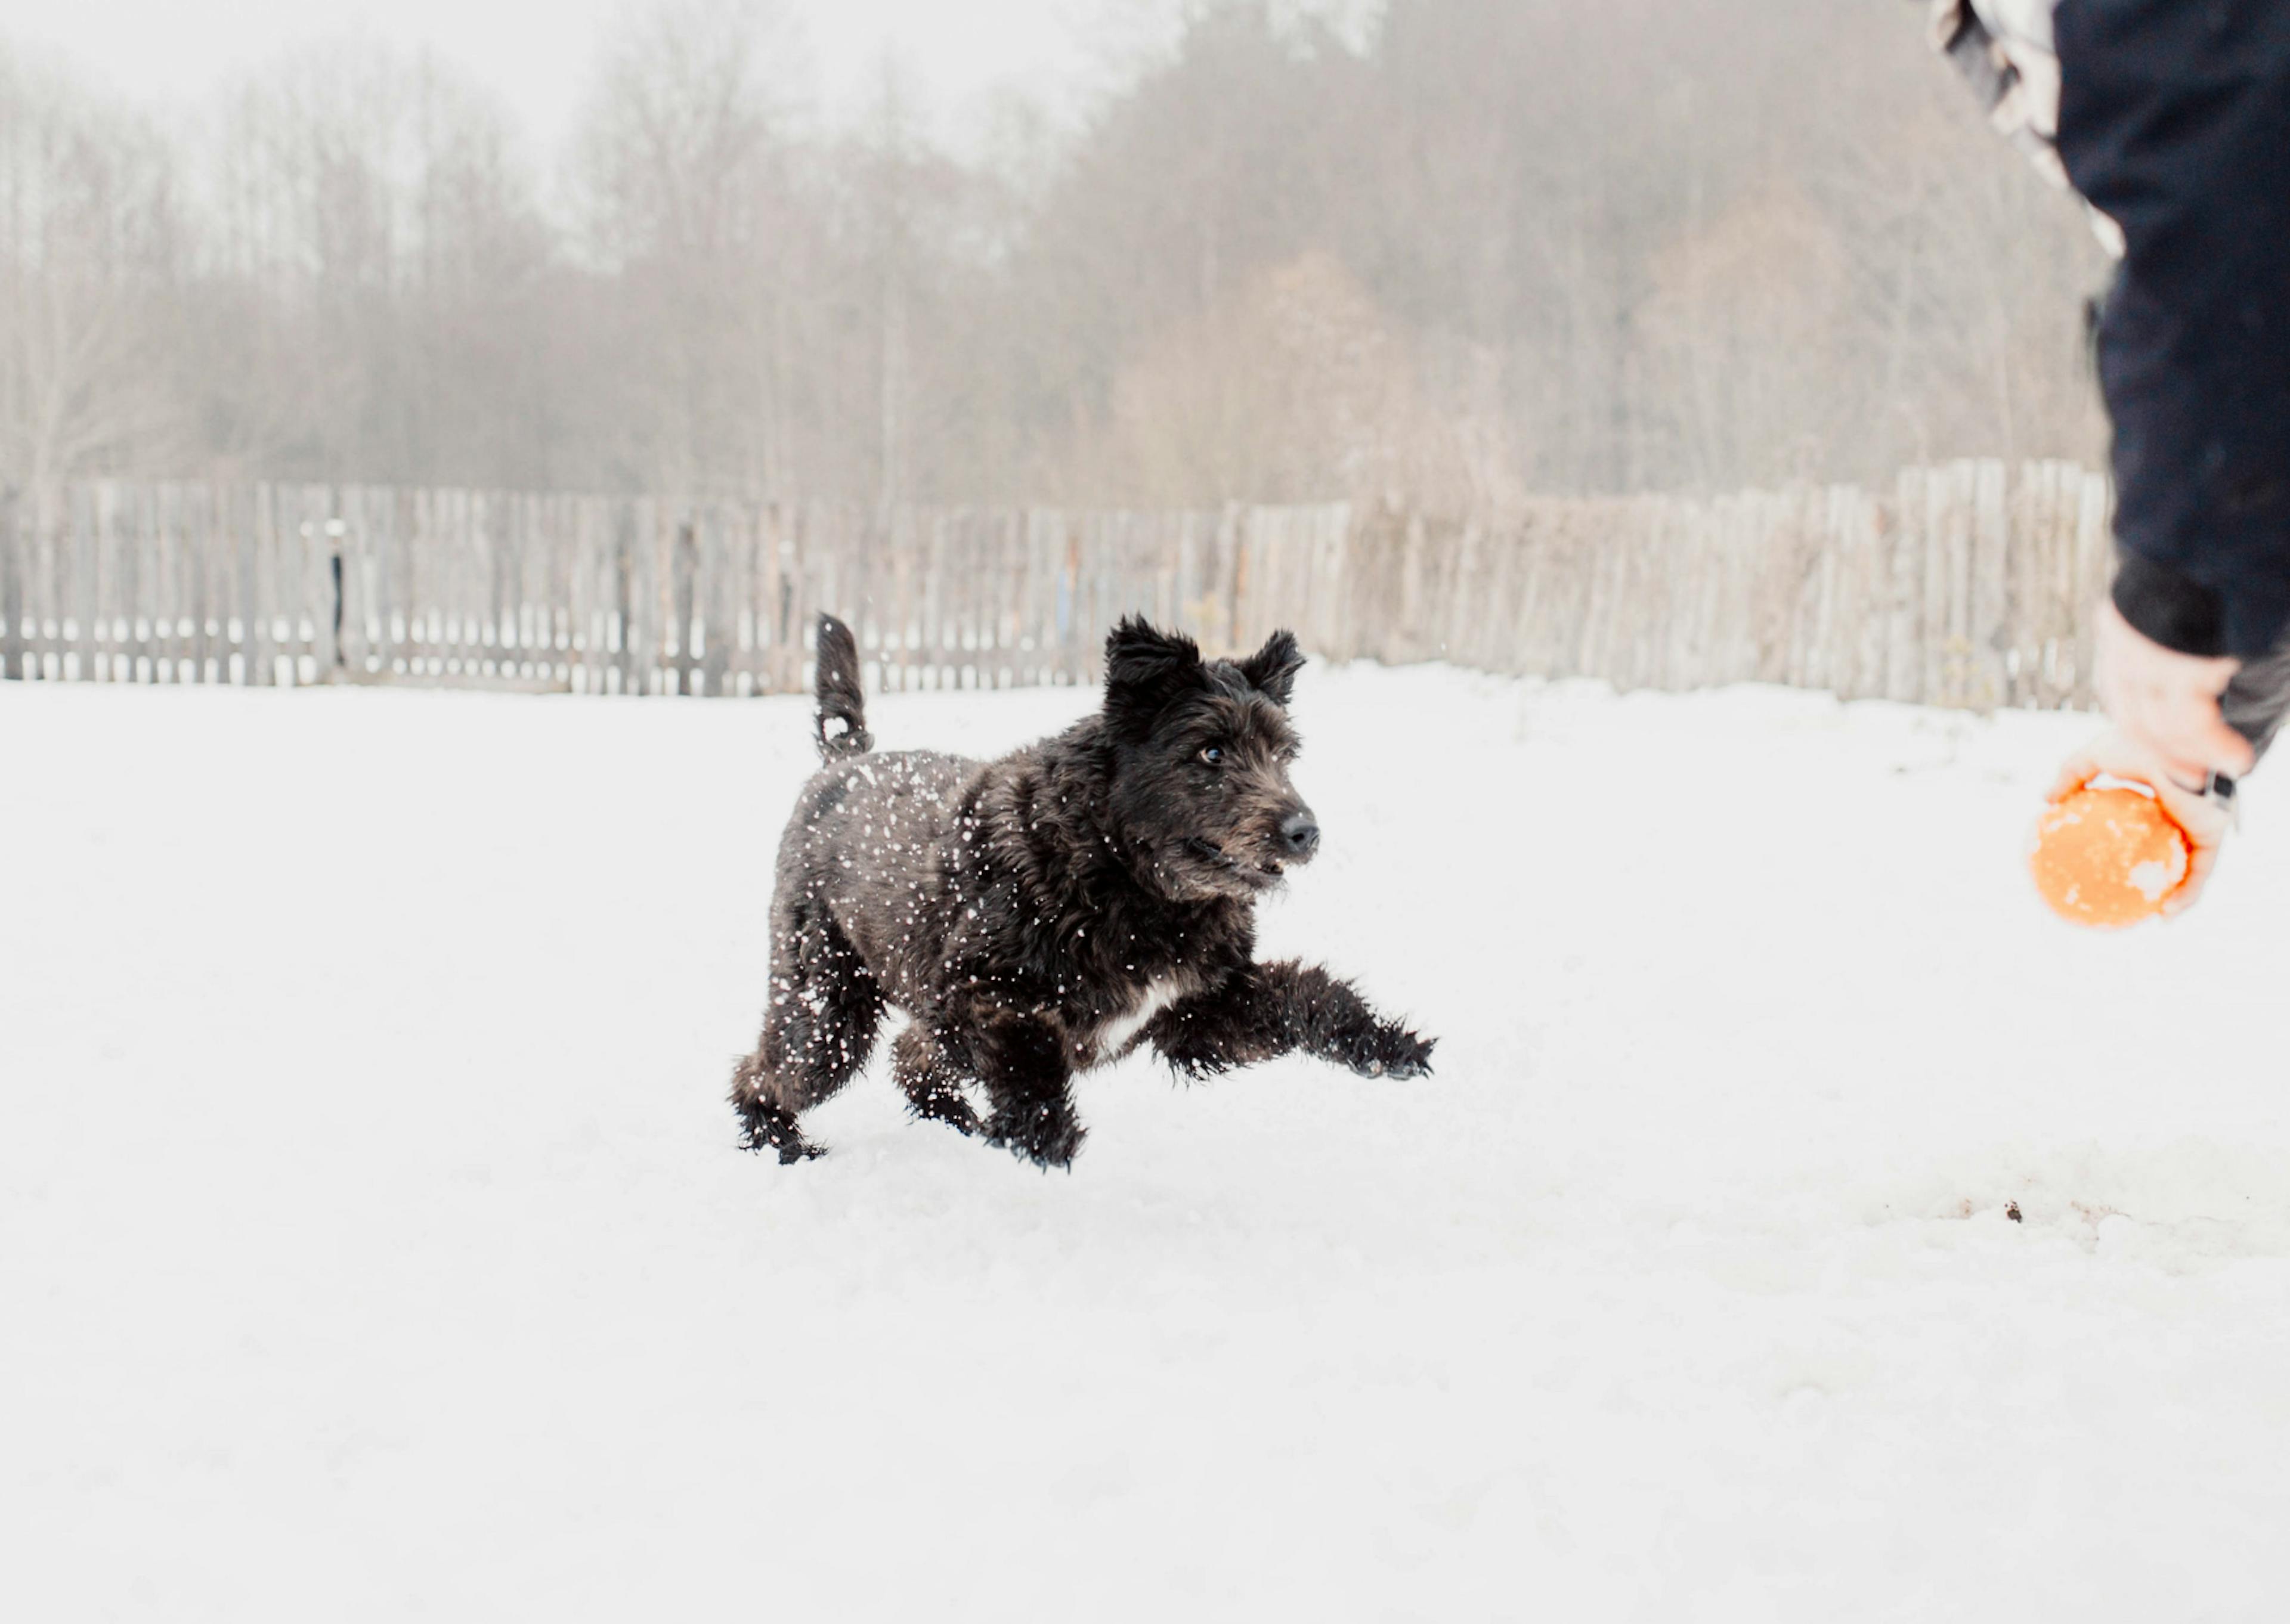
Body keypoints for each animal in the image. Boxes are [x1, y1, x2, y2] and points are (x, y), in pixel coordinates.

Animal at [732, 609, 1429, 1163]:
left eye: (1283, 755)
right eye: (1210, 752)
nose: (1304, 832)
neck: (1120, 874)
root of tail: (843, 764)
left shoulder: (1195, 1013)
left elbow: (1300, 993)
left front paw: (1381, 1042)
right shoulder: (972, 991)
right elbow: (1024, 1046)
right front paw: (1042, 1131)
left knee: (910, 1054)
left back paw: (955, 1120)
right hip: (824, 1010)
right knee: (764, 1073)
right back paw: (782, 1144)